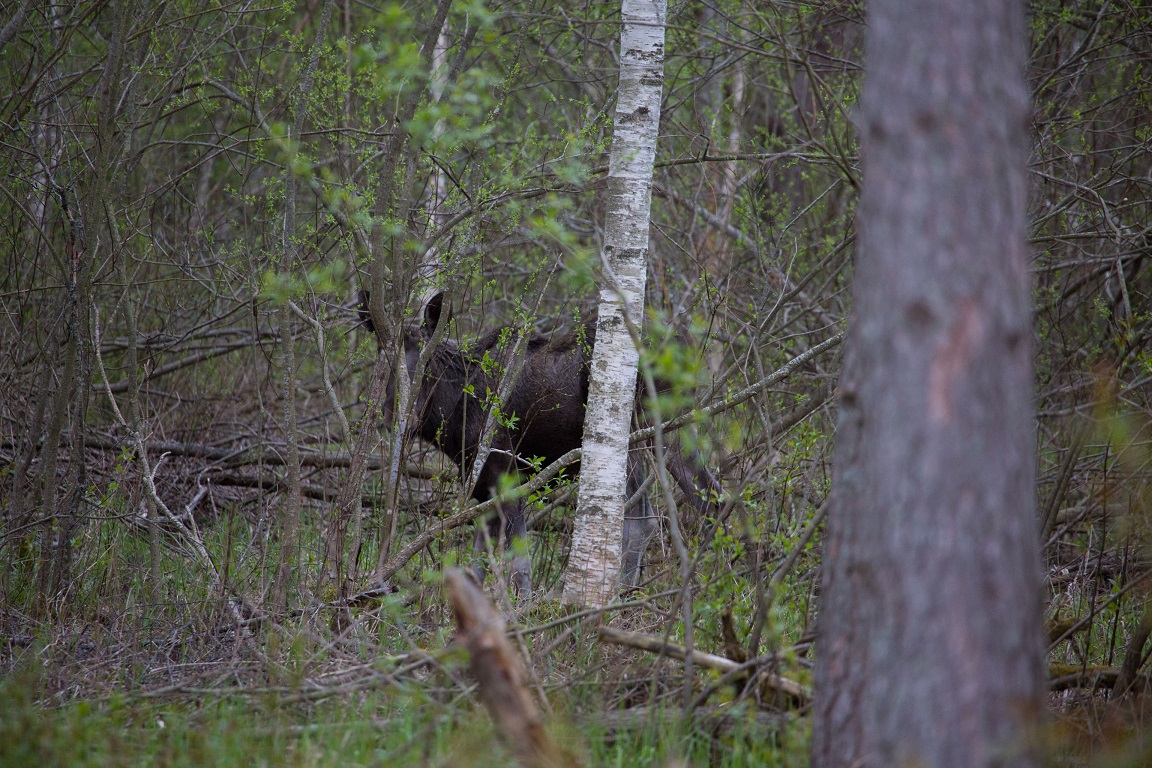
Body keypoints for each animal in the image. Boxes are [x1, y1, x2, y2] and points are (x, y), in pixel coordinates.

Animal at [364, 291, 714, 598]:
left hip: (629, 436)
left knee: (641, 519)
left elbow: (518, 563)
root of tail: (685, 341)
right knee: (709, 498)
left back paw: (620, 597)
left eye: (428, 366)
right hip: (676, 431)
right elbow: (477, 566)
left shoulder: (505, 474)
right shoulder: (481, 487)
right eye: (384, 364)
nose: (397, 418)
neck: (453, 414)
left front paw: (524, 611)